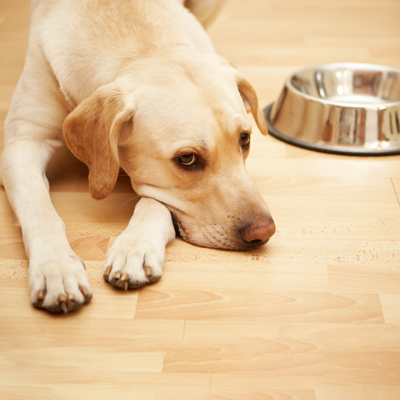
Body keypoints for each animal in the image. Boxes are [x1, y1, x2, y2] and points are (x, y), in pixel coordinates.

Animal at [0, 0, 276, 312]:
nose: (264, 231)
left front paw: (135, 248)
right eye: (187, 159)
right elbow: (40, 209)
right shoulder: (22, 143)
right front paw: (56, 268)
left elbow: (153, 202)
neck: (143, 45)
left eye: (245, 139)